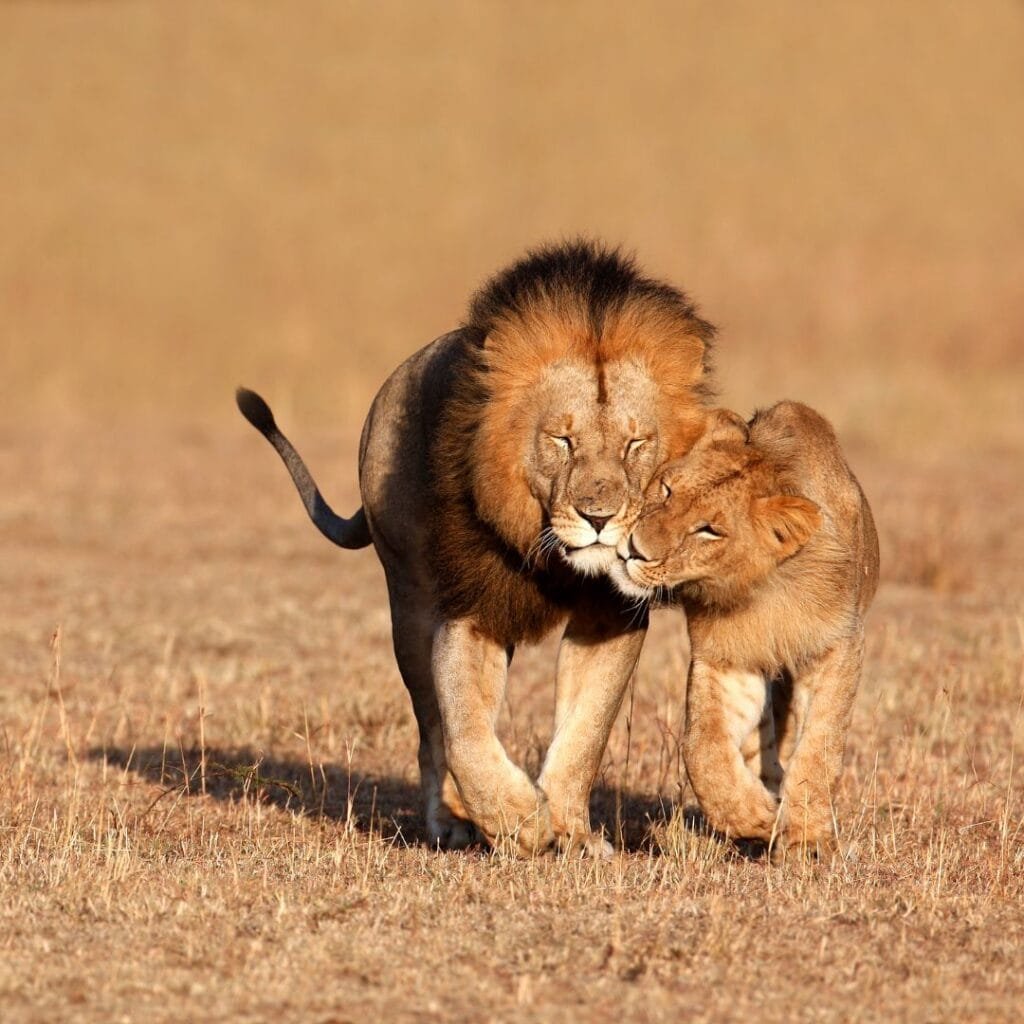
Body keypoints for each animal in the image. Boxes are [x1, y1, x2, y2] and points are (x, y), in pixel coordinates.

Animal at [237, 241, 715, 855]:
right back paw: (451, 821)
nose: (599, 518)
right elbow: (463, 729)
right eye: (561, 440)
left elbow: (586, 731)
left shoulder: (612, 614)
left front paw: (573, 833)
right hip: (409, 602)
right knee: (431, 727)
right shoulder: (470, 608)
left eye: (636, 443)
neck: (552, 556)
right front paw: (520, 821)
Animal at [611, 401, 879, 857]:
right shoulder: (727, 659)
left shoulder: (837, 647)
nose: (633, 550)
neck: (766, 590)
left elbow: (820, 746)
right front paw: (752, 818)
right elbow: (702, 746)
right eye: (666, 489)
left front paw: (807, 838)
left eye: (709, 530)